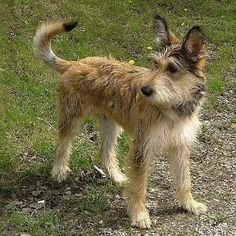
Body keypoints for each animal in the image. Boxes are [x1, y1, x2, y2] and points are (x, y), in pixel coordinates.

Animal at [33, 15, 208, 229]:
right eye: (155, 63)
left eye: (173, 69)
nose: (145, 90)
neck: (172, 107)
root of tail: (75, 63)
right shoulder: (143, 146)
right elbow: (139, 185)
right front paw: (139, 215)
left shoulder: (180, 144)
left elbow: (184, 179)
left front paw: (189, 204)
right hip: (72, 117)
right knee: (62, 144)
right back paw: (58, 170)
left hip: (111, 125)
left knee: (105, 152)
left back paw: (116, 176)